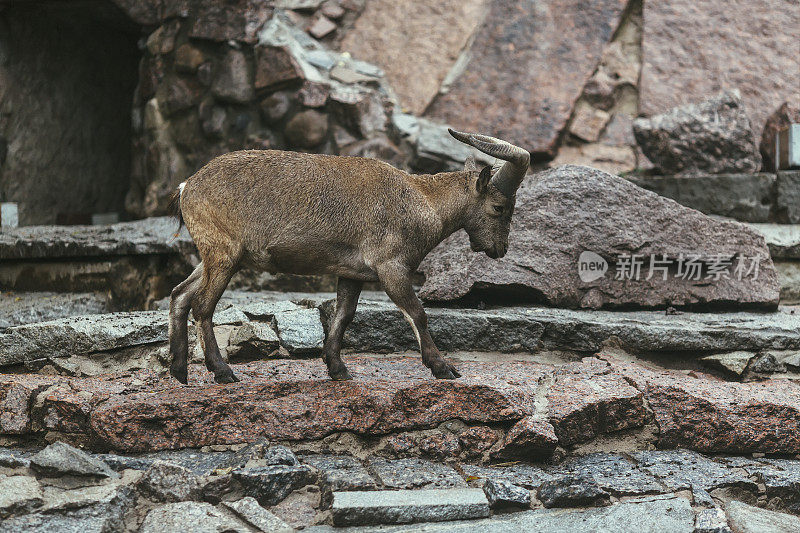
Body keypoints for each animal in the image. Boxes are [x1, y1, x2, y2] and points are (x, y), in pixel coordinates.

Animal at [169, 129, 532, 382]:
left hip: (213, 255)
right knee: (202, 305)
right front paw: (443, 368)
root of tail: (187, 186)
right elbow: (417, 313)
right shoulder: (391, 267)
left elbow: (343, 316)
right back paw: (222, 372)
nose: (499, 249)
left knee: (180, 295)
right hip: (224, 253)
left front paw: (337, 369)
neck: (423, 201)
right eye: (499, 207)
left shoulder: (352, 273)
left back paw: (179, 371)